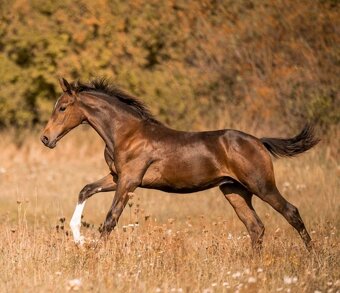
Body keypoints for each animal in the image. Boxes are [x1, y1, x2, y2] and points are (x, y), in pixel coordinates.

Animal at [40, 77, 318, 251]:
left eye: (62, 108)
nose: (45, 138)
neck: (125, 133)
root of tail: (259, 141)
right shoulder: (117, 177)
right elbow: (85, 189)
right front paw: (78, 239)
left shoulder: (130, 180)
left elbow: (110, 219)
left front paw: (94, 253)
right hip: (234, 190)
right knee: (256, 227)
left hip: (262, 185)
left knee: (291, 212)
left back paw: (313, 256)